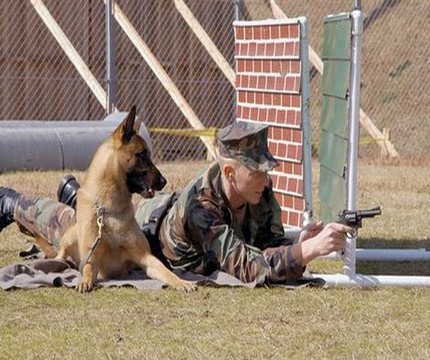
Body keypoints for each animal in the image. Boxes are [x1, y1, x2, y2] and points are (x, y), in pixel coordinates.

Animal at [54, 105, 196, 292]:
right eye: (142, 155)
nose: (164, 181)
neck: (109, 207)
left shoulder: (144, 257)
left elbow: (162, 268)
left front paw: (180, 281)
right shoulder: (93, 258)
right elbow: (88, 269)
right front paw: (84, 281)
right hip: (71, 235)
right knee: (61, 253)